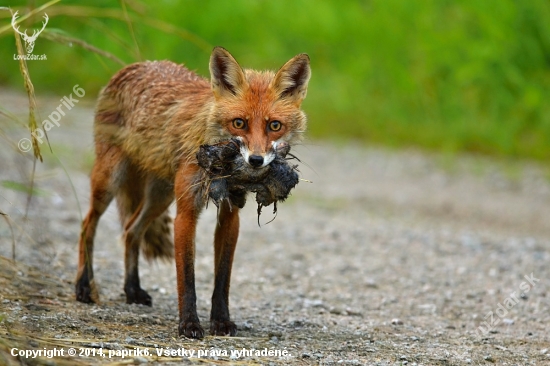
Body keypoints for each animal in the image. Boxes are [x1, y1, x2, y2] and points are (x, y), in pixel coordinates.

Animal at [75, 47, 312, 338]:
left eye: (275, 126)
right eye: (239, 123)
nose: (256, 161)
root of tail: (135, 65)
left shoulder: (230, 215)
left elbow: (222, 279)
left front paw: (221, 321)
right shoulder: (186, 213)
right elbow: (186, 277)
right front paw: (189, 324)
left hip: (160, 196)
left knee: (131, 230)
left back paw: (132, 290)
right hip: (110, 180)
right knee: (87, 225)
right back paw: (83, 286)